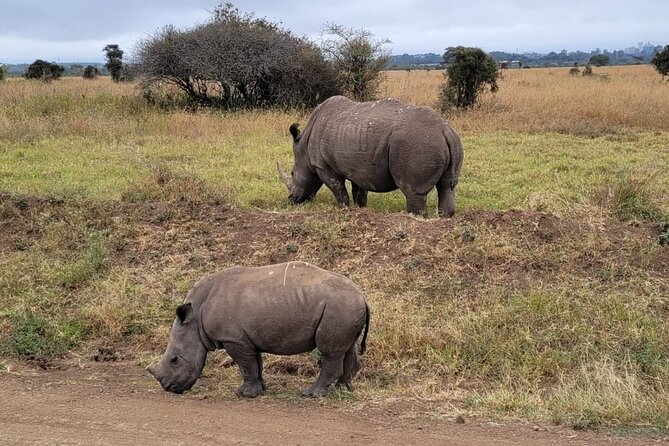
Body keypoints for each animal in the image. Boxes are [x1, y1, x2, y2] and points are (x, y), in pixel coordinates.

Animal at [148, 262, 370, 398]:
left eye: (174, 360)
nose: (168, 388)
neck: (196, 319)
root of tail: (362, 296)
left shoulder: (233, 339)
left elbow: (245, 365)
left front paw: (244, 394)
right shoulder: (246, 337)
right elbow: (255, 363)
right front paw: (260, 390)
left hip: (339, 306)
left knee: (330, 352)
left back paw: (311, 395)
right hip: (345, 307)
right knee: (346, 348)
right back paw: (344, 391)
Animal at [277, 95, 463, 217]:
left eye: (292, 173)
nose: (291, 199)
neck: (304, 147)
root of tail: (444, 130)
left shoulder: (322, 165)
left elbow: (339, 191)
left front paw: (343, 210)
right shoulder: (360, 169)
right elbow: (359, 193)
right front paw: (361, 211)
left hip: (417, 143)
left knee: (413, 192)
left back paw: (415, 218)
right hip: (449, 142)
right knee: (447, 187)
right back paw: (444, 218)